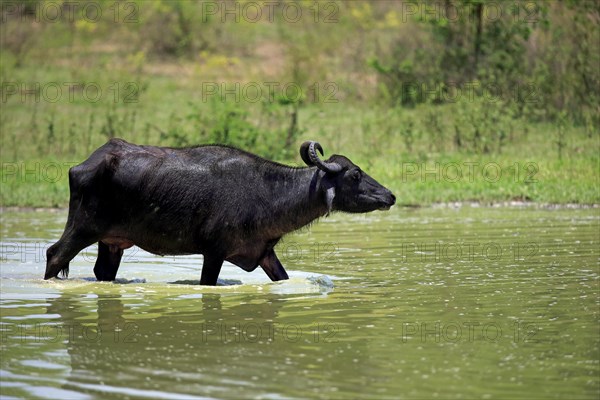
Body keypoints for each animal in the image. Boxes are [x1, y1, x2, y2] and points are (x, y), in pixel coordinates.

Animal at [44, 139, 396, 286]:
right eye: (354, 175)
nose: (390, 195)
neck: (267, 193)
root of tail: (85, 164)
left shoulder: (263, 253)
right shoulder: (213, 253)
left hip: (112, 242)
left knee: (102, 272)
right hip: (82, 228)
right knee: (54, 255)